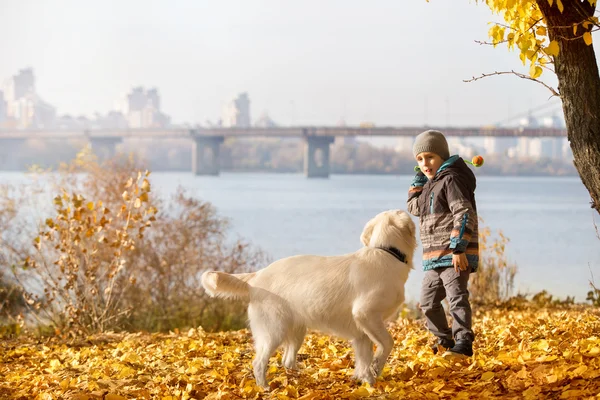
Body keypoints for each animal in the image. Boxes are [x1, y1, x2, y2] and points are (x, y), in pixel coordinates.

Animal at [199, 209, 414, 388]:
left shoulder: (361, 331)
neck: (387, 253)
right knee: (259, 362)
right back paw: (265, 388)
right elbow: (387, 343)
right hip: (274, 330)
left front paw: (364, 381)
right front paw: (375, 372)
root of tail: (257, 276)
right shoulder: (366, 314)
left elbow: (363, 359)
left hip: (297, 330)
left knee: (287, 361)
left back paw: (297, 377)